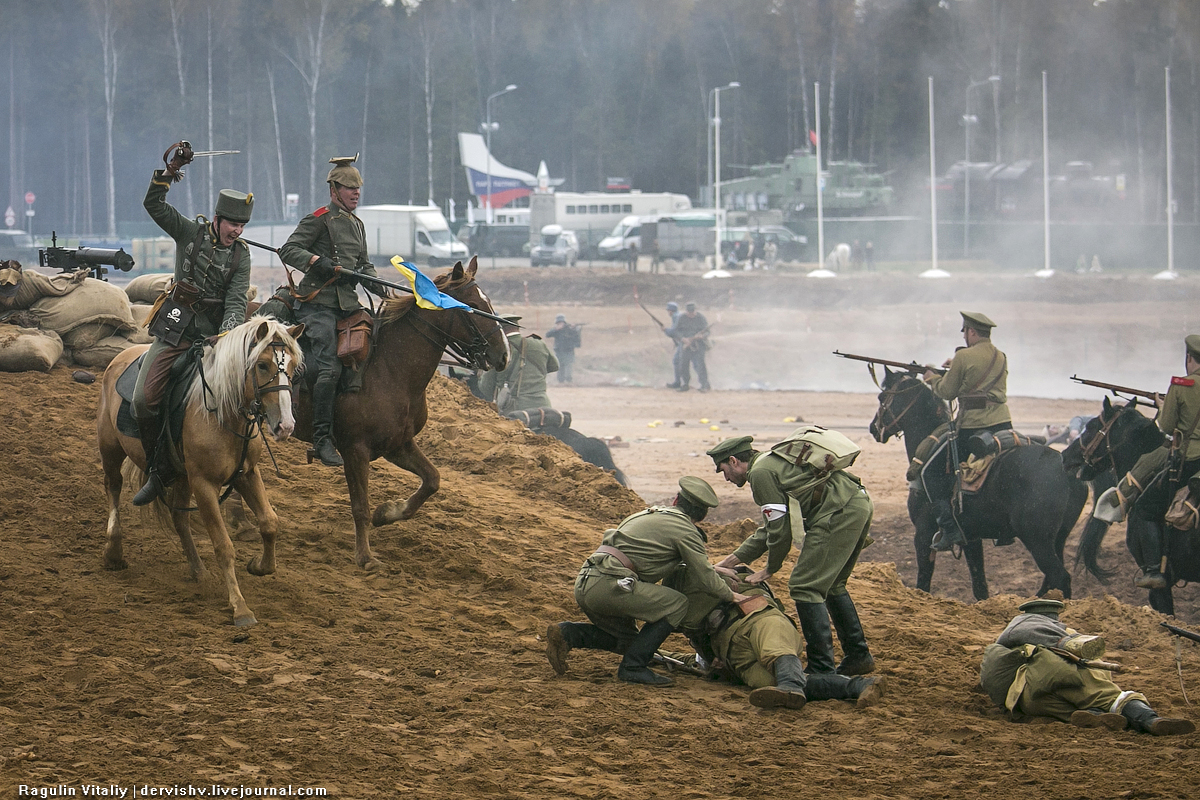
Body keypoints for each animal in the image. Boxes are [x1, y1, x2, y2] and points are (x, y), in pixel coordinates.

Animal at [97, 316, 304, 628]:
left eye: (291, 367)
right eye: (262, 365)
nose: (286, 426)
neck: (223, 413)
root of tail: (119, 358)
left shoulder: (246, 474)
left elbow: (270, 523)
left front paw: (259, 566)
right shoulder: (204, 484)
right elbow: (223, 546)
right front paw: (240, 607)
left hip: (181, 476)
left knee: (179, 518)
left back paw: (198, 571)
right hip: (110, 448)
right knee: (113, 486)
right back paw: (113, 551)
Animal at [292, 260, 513, 573]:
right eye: (471, 306)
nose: (503, 355)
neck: (389, 367)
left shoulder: (398, 445)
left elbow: (432, 480)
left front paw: (387, 512)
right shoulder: (355, 450)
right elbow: (360, 506)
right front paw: (366, 557)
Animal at [873, 369, 1089, 599]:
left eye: (882, 397)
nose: (873, 428)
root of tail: (1066, 468)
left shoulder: (923, 534)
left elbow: (923, 582)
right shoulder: (971, 539)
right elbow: (980, 585)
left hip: (1037, 541)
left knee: (1060, 577)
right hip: (1058, 539)